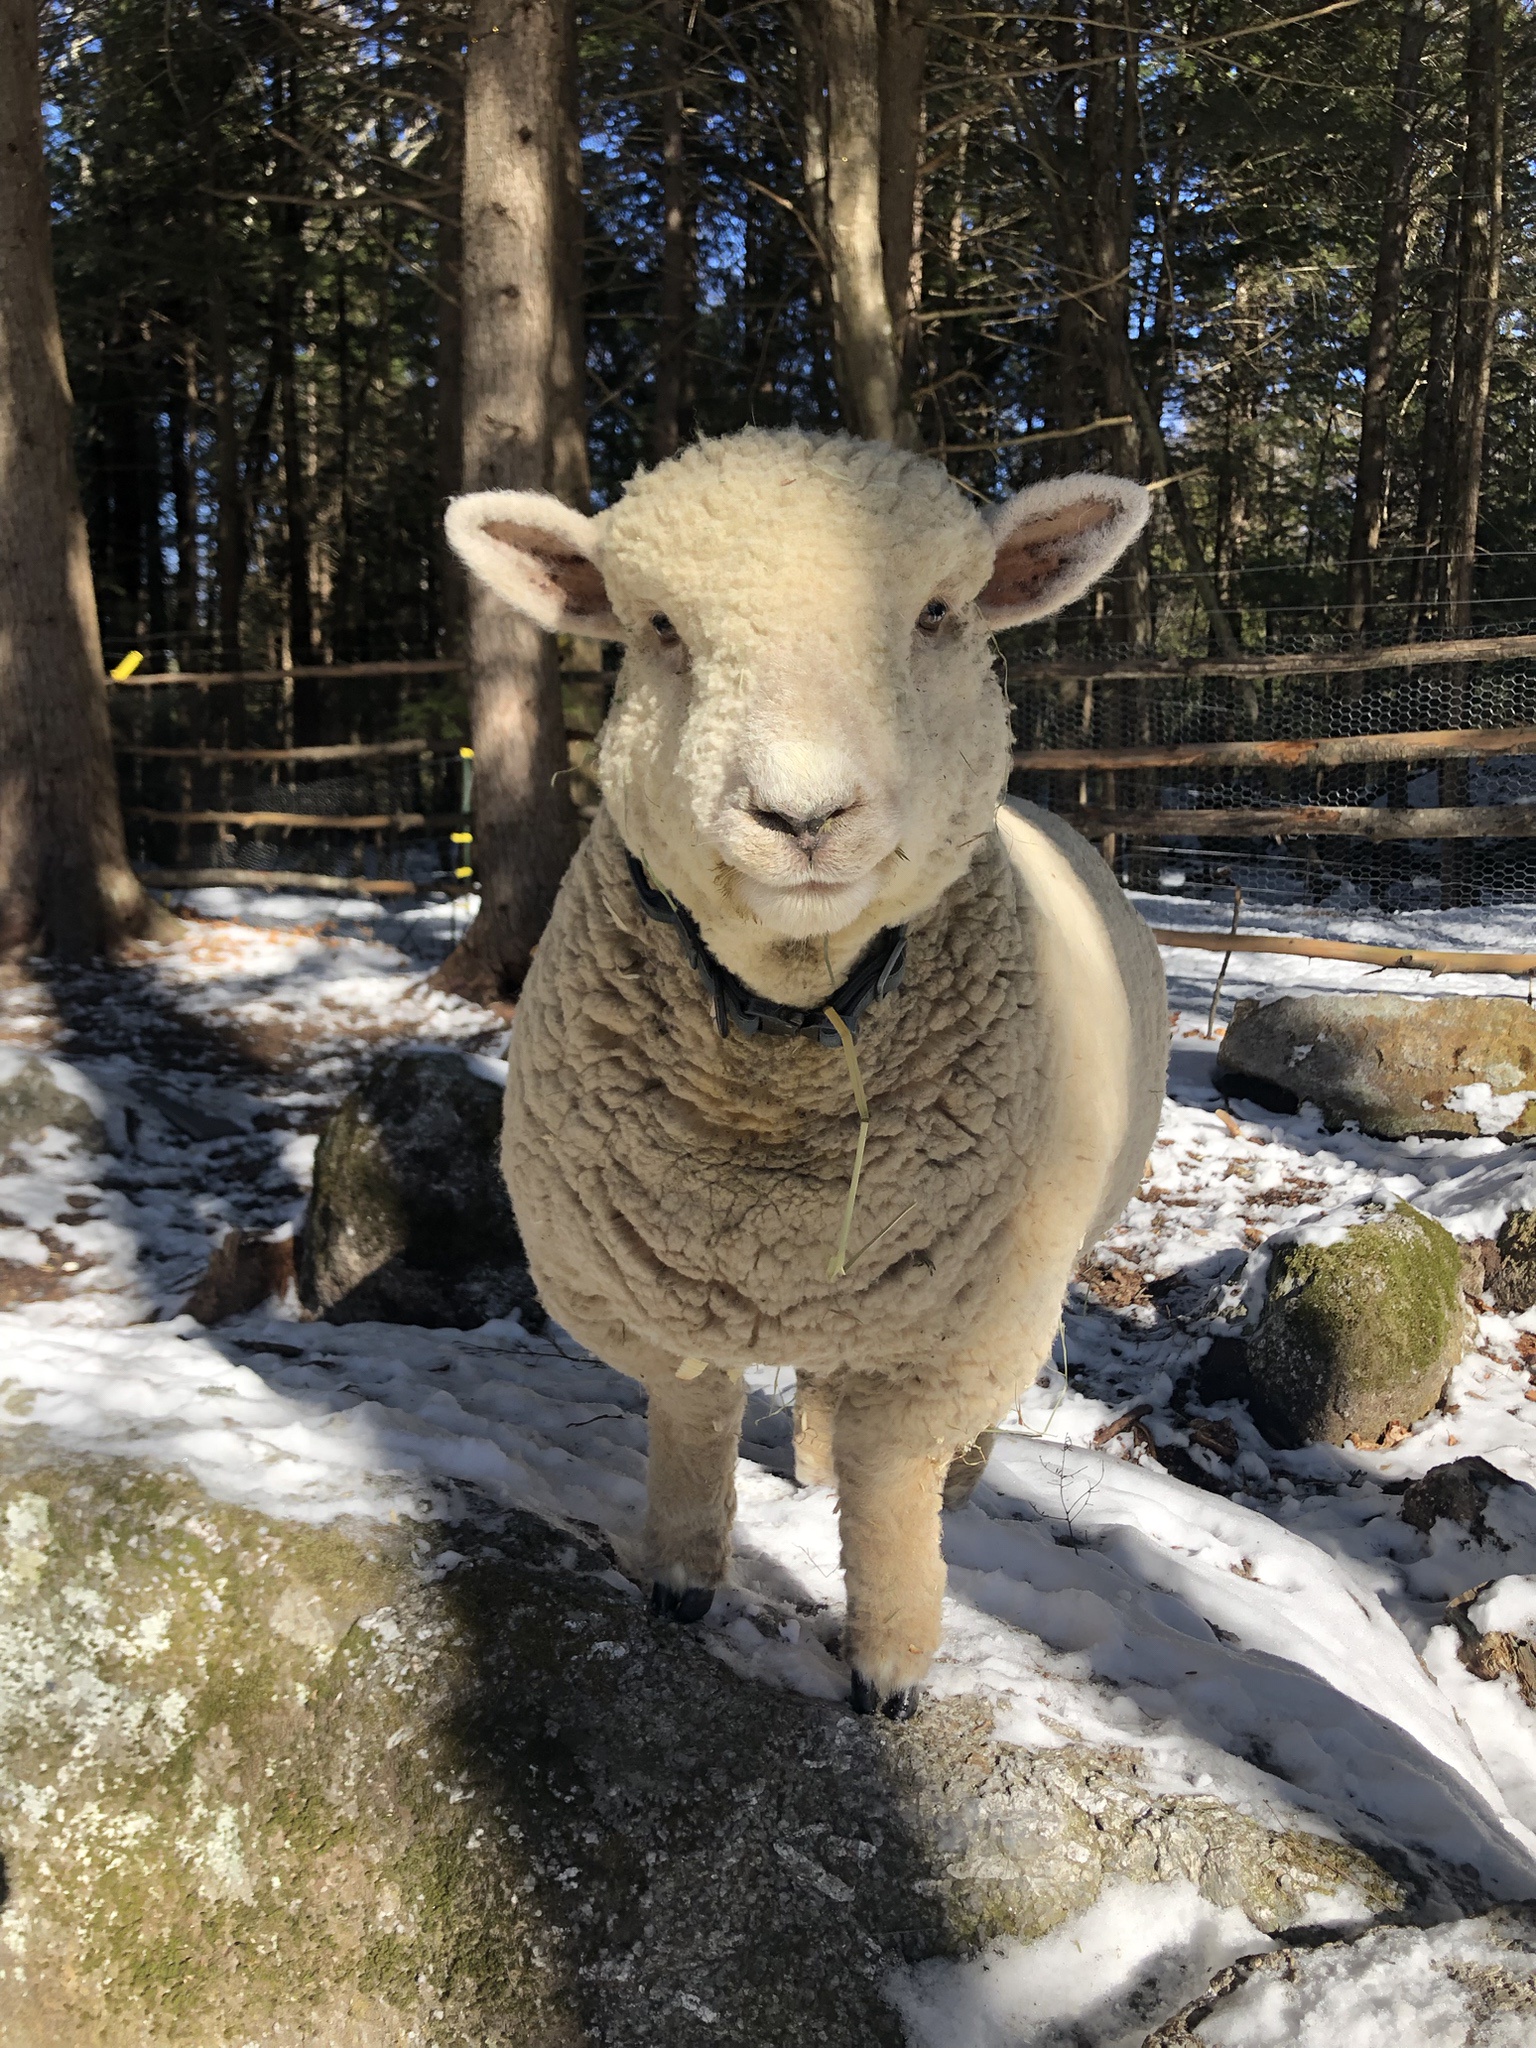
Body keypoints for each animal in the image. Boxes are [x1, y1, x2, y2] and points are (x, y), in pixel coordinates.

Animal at [444, 428, 1163, 1712]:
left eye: (938, 613)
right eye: (658, 627)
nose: (804, 813)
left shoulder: (952, 1329)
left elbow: (890, 1485)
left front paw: (892, 1664)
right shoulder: (645, 1296)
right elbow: (696, 1416)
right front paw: (681, 1578)